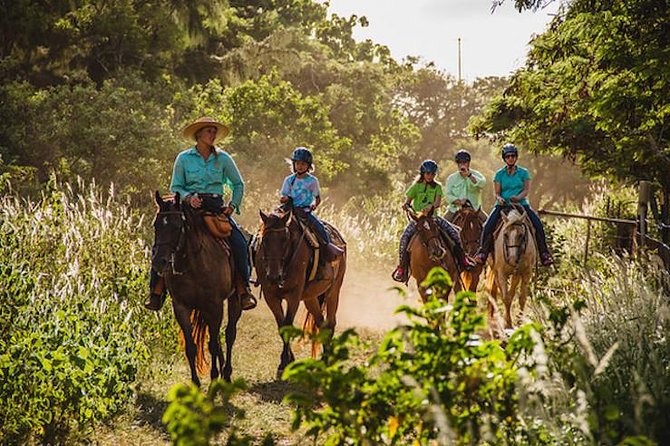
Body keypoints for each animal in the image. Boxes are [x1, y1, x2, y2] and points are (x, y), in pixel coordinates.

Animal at [152, 193, 242, 386]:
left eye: (177, 226)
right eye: (156, 225)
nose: (158, 262)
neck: (193, 264)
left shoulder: (215, 305)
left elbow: (214, 345)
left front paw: (214, 377)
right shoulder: (181, 307)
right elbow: (191, 347)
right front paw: (196, 383)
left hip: (234, 300)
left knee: (229, 334)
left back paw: (226, 373)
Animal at [258, 207, 350, 378]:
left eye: (285, 239)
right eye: (265, 240)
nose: (274, 277)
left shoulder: (293, 296)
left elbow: (287, 325)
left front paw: (284, 363)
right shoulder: (270, 296)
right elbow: (282, 326)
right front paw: (287, 361)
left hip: (334, 291)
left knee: (330, 324)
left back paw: (327, 359)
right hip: (311, 298)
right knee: (321, 323)